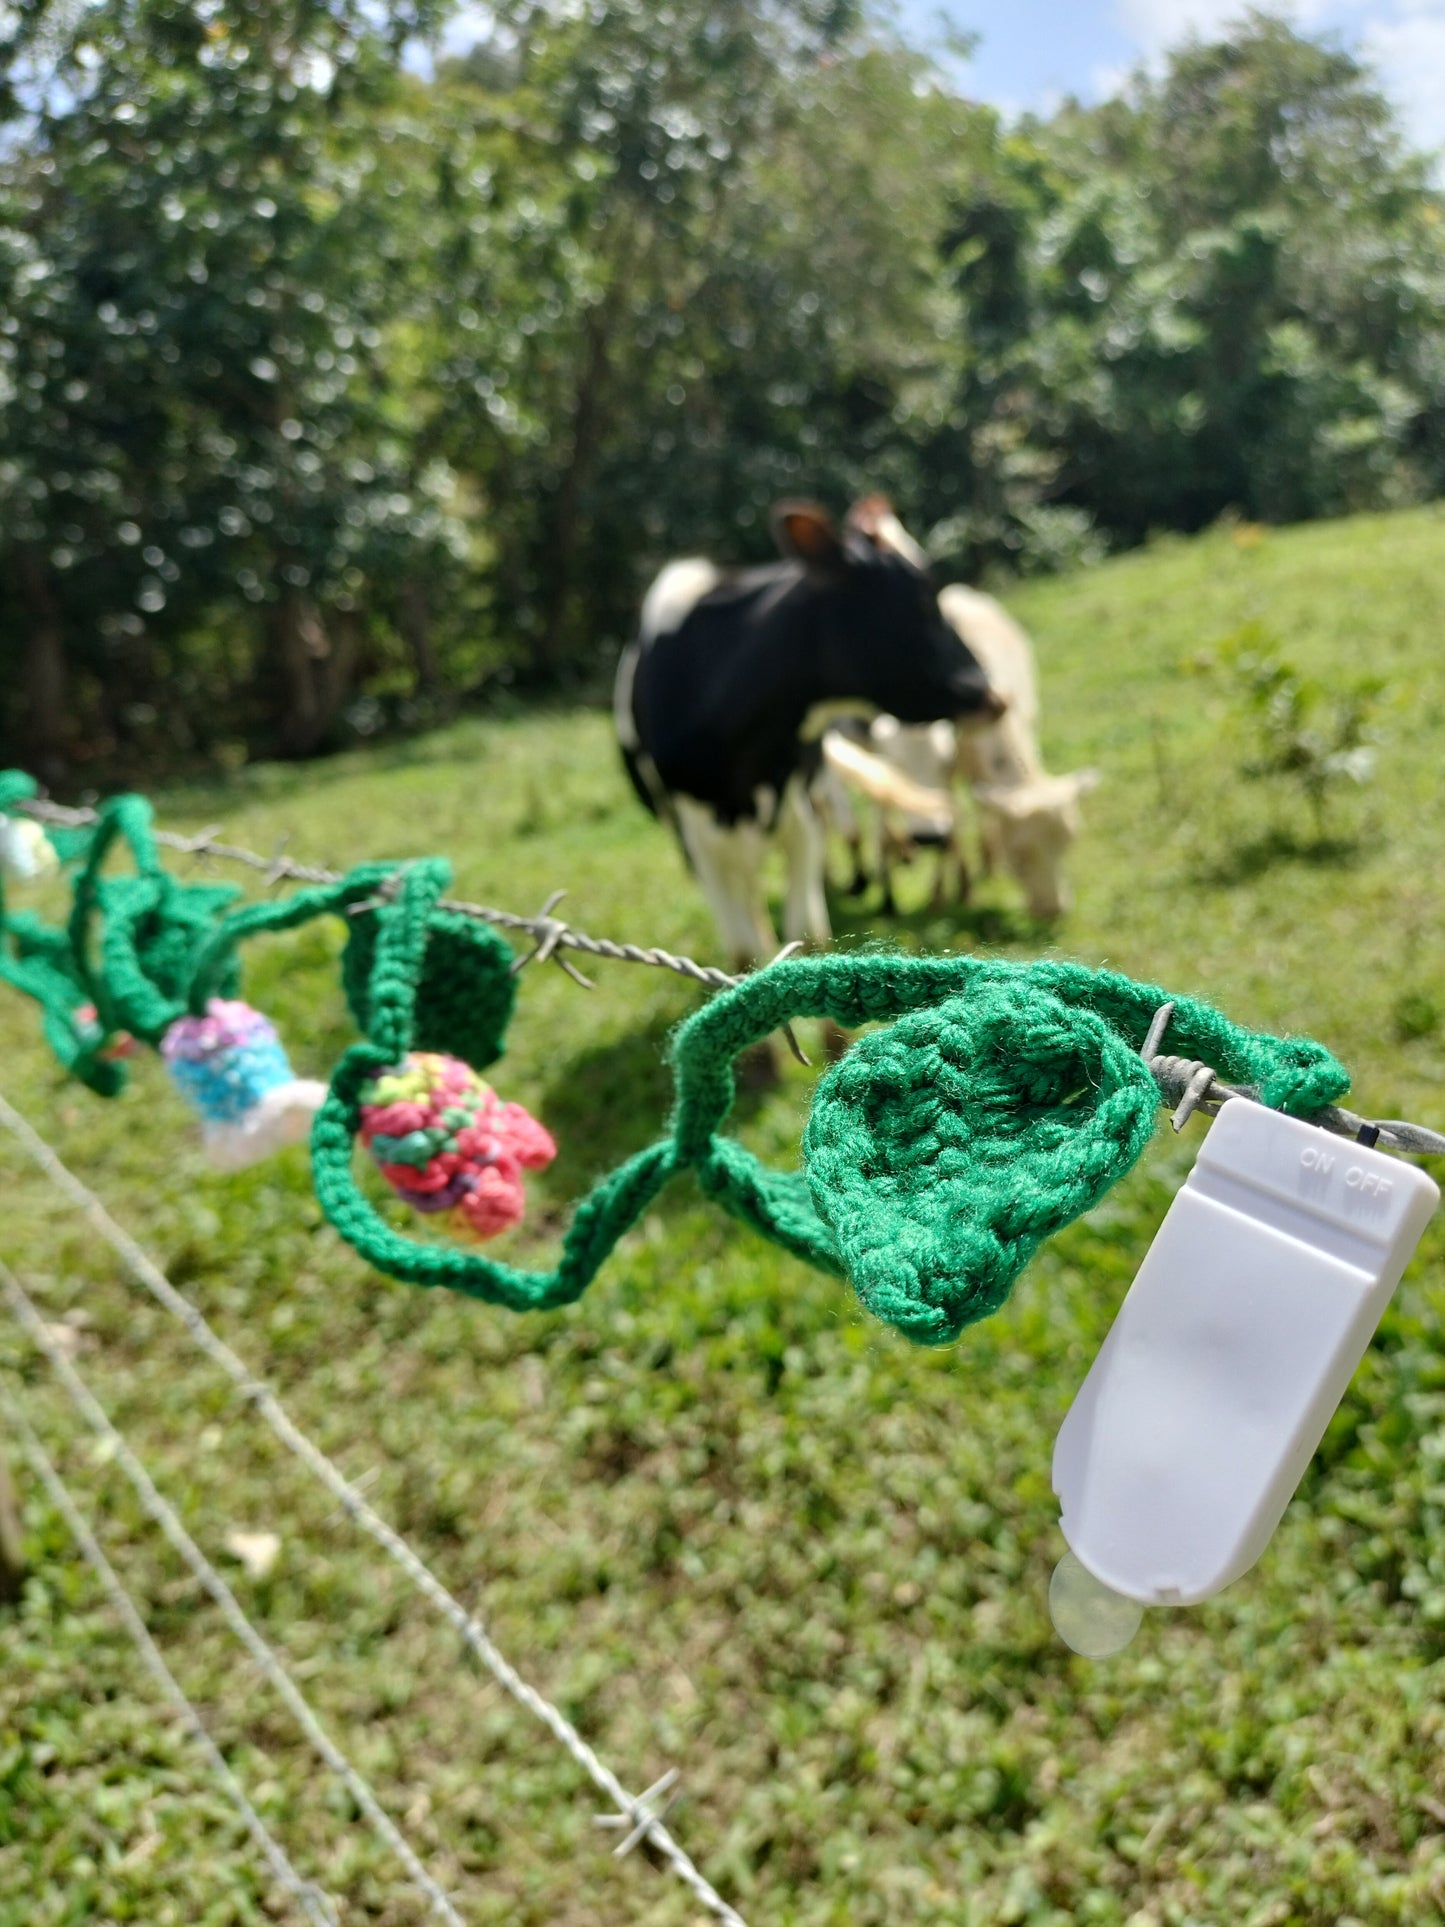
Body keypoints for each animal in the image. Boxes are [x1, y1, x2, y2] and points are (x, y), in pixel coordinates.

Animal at [612, 497, 1009, 963]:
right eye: (925, 599)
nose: (994, 698)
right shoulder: (696, 837)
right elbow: (742, 951)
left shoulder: (800, 808)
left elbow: (808, 938)